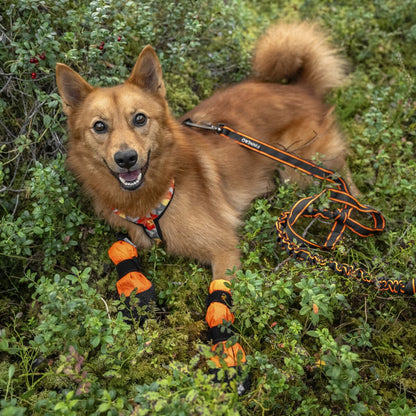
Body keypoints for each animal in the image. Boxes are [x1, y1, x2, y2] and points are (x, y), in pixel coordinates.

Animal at [56, 22, 358, 282]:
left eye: (140, 119)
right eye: (99, 126)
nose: (126, 158)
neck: (152, 199)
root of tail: (302, 88)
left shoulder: (223, 249)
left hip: (296, 170)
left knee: (339, 175)